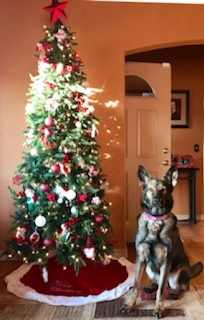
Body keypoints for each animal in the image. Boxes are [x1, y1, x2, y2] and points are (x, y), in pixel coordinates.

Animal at [121, 165, 202, 318]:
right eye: (150, 189)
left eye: (163, 189)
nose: (156, 200)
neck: (155, 219)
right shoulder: (141, 258)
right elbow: (136, 286)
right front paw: (129, 305)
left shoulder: (166, 261)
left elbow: (161, 290)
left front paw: (159, 308)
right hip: (148, 268)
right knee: (158, 281)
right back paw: (150, 285)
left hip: (178, 273)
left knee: (179, 286)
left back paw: (175, 291)